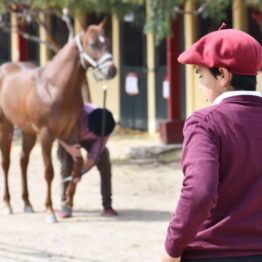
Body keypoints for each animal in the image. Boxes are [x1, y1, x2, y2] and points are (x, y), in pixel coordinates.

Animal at [0, 19, 115, 223]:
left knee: (23, 161)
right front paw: (50, 211)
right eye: (93, 44)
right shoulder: (46, 135)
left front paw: (67, 204)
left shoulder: (71, 132)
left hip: (28, 131)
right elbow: (49, 172)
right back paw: (7, 205)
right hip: (6, 125)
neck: (54, 86)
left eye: (107, 42)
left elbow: (77, 165)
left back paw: (27, 203)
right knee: (6, 162)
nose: (111, 70)